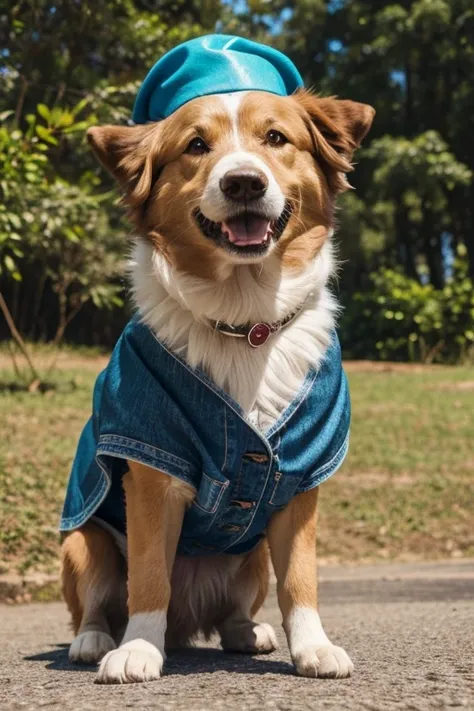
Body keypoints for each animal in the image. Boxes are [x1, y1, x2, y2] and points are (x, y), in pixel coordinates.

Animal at [58, 37, 374, 684]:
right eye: (196, 146)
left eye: (276, 138)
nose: (244, 183)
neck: (244, 320)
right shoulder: (153, 466)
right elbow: (148, 574)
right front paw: (138, 648)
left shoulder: (302, 474)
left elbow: (300, 579)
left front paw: (313, 646)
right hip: (81, 542)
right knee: (100, 598)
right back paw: (96, 639)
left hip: (250, 556)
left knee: (237, 606)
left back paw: (246, 632)